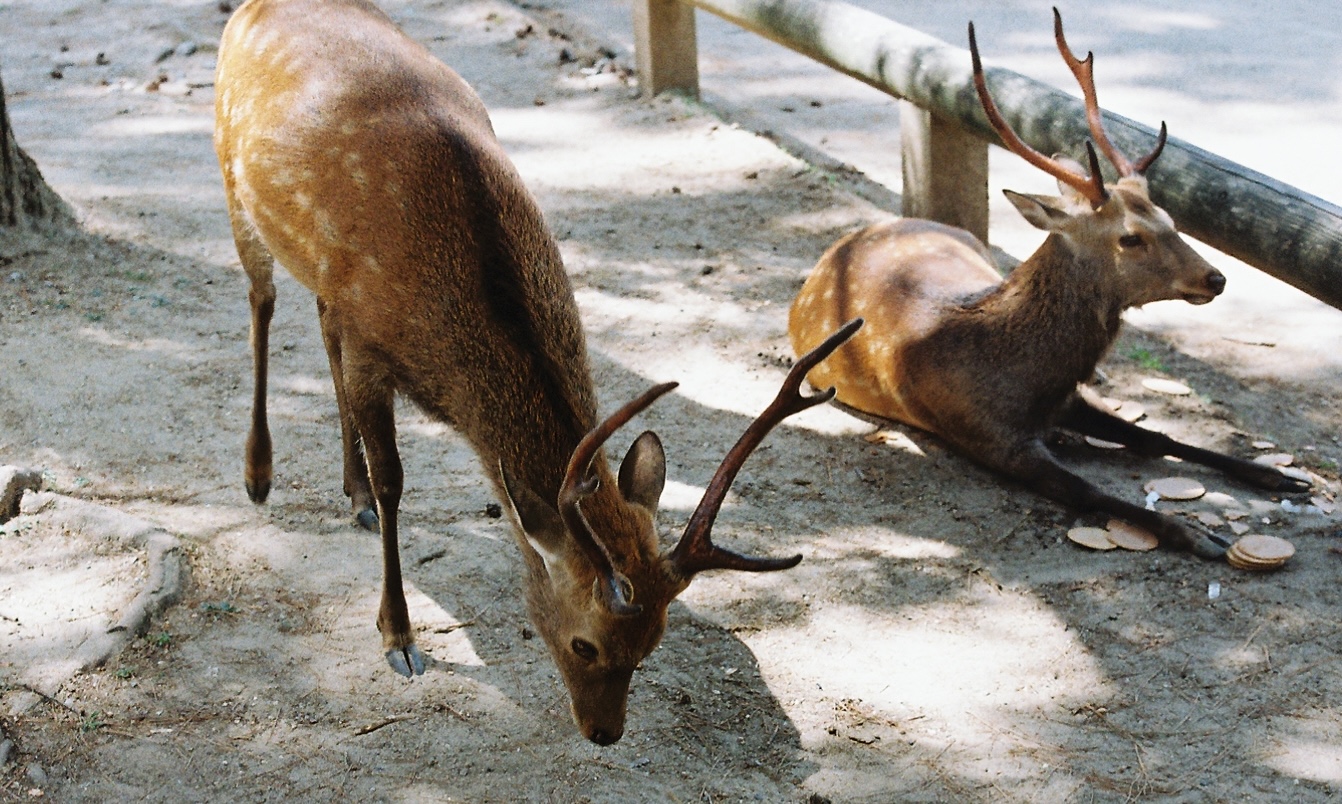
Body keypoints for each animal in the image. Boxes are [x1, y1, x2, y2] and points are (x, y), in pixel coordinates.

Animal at [209, 0, 858, 746]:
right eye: (585, 644)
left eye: (653, 645)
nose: (605, 733)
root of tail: (248, 10)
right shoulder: (371, 343)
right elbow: (397, 480)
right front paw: (398, 637)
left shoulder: (356, 315)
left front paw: (365, 501)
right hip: (231, 178)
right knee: (261, 302)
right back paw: (259, 473)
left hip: (317, 271)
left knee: (317, 326)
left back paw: (353, 494)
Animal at [789, 7, 1304, 561]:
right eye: (1130, 238)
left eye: (1170, 218)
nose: (1216, 277)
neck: (1028, 382)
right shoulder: (988, 436)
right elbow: (1088, 490)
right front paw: (1195, 533)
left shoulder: (1067, 398)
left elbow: (1155, 439)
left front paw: (1275, 475)